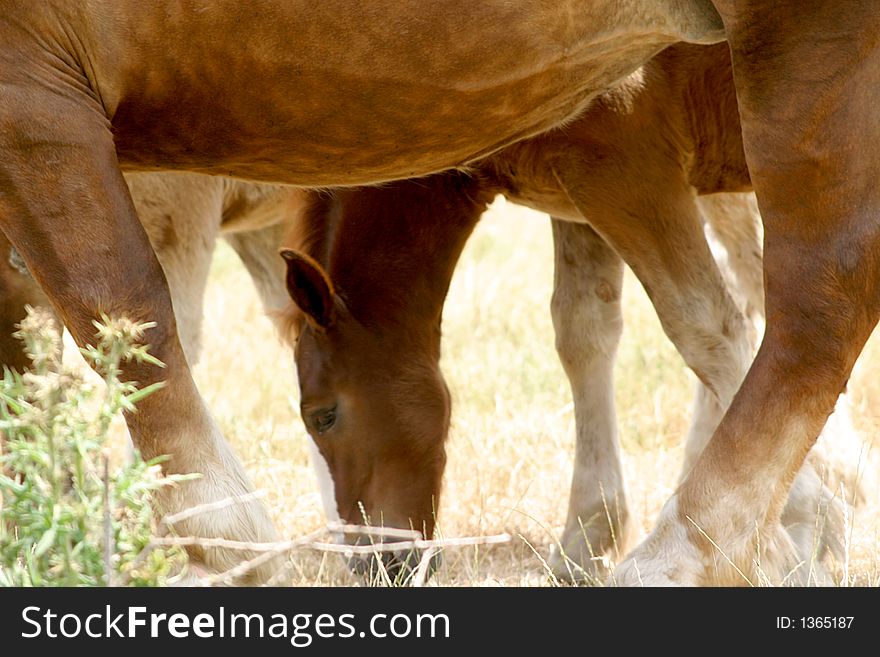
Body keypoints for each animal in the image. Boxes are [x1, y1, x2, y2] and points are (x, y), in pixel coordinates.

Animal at [1, 0, 880, 584]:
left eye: (322, 415)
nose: (377, 562)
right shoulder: (583, 194)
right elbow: (587, 331)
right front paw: (588, 534)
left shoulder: (623, 166)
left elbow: (705, 324)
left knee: (814, 290)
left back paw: (693, 548)